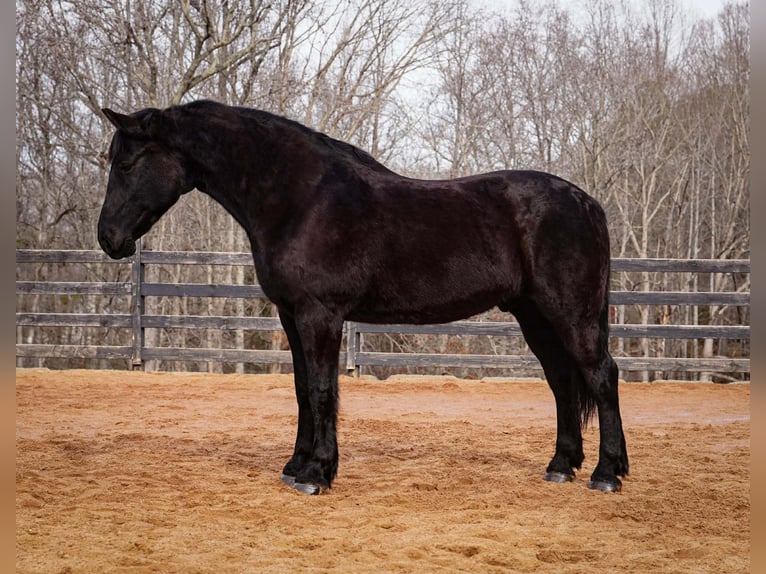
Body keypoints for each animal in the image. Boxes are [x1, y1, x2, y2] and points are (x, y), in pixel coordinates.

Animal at [98, 100, 628, 495]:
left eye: (126, 163)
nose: (108, 238)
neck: (299, 199)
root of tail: (587, 203)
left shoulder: (321, 315)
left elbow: (322, 389)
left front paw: (317, 474)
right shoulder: (291, 316)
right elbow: (301, 390)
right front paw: (295, 466)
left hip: (570, 312)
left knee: (601, 375)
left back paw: (606, 474)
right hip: (534, 315)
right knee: (562, 381)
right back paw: (561, 465)